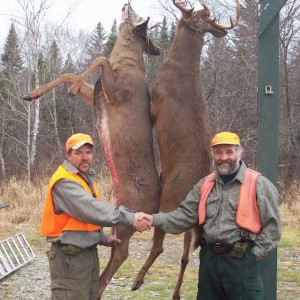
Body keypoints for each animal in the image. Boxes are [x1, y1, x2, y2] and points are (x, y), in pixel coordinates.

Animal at [132, 1, 240, 298]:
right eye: (202, 17)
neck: (178, 69)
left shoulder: (155, 102)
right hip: (193, 225)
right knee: (185, 257)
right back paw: (176, 293)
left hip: (169, 201)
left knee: (159, 245)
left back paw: (138, 280)